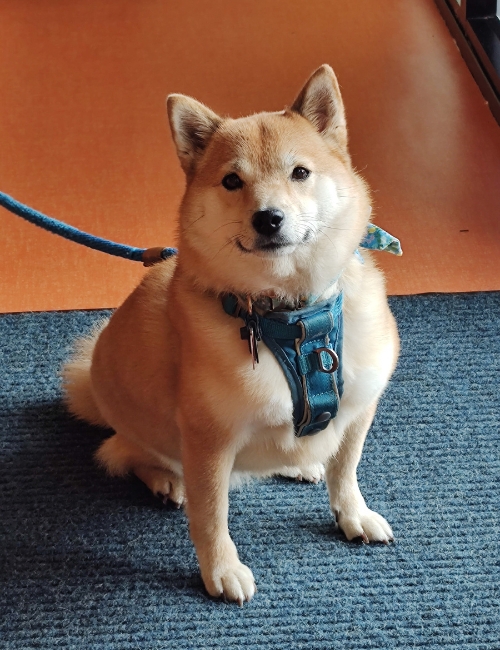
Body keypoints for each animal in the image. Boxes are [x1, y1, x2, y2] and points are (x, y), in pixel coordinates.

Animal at [62, 64, 400, 604]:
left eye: (299, 173)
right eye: (231, 181)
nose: (268, 217)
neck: (292, 315)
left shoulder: (359, 407)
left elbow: (345, 471)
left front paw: (353, 514)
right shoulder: (209, 442)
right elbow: (210, 516)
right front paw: (220, 569)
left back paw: (299, 462)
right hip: (141, 429)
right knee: (126, 453)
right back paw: (164, 480)